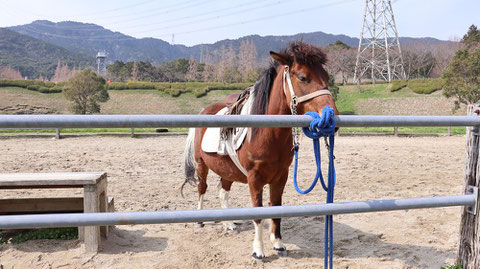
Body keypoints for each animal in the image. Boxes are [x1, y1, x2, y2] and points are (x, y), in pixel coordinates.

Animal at [183, 40, 338, 258]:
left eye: (326, 77)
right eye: (303, 77)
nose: (332, 117)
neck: (265, 133)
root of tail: (205, 110)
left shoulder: (281, 176)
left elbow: (276, 208)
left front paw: (278, 243)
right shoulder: (254, 178)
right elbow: (258, 212)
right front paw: (258, 250)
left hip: (227, 170)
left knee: (223, 191)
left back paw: (229, 224)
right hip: (201, 165)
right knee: (202, 188)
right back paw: (199, 221)